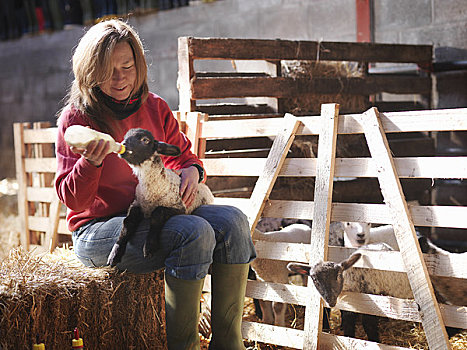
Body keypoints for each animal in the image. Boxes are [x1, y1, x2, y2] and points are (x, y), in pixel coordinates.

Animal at [107, 127, 215, 266]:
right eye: (125, 136)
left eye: (145, 140)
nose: (123, 145)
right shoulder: (136, 204)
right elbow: (127, 222)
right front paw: (115, 253)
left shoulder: (179, 207)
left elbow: (157, 213)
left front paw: (149, 246)